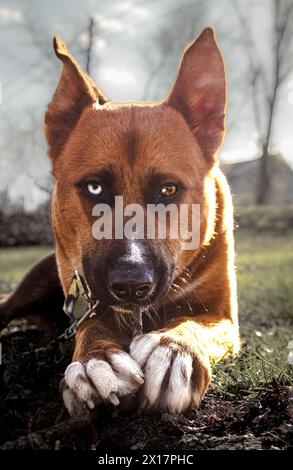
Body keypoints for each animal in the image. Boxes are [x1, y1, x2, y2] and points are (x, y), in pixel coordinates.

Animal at [0, 27, 238, 414]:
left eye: (169, 189)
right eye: (94, 187)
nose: (130, 284)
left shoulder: (223, 316)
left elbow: (193, 324)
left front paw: (174, 348)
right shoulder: (87, 297)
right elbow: (92, 325)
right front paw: (96, 360)